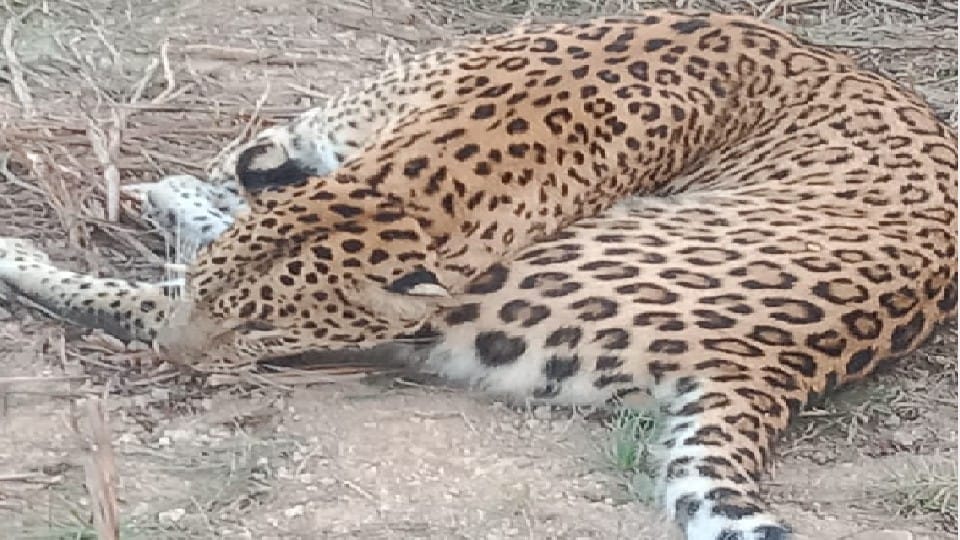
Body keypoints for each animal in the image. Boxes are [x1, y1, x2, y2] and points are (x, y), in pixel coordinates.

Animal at [0, 10, 956, 540]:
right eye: (218, 298)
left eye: (265, 323)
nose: (180, 361)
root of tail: (781, 367)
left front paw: (181, 196)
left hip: (512, 292)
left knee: (130, 296)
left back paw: (38, 251)